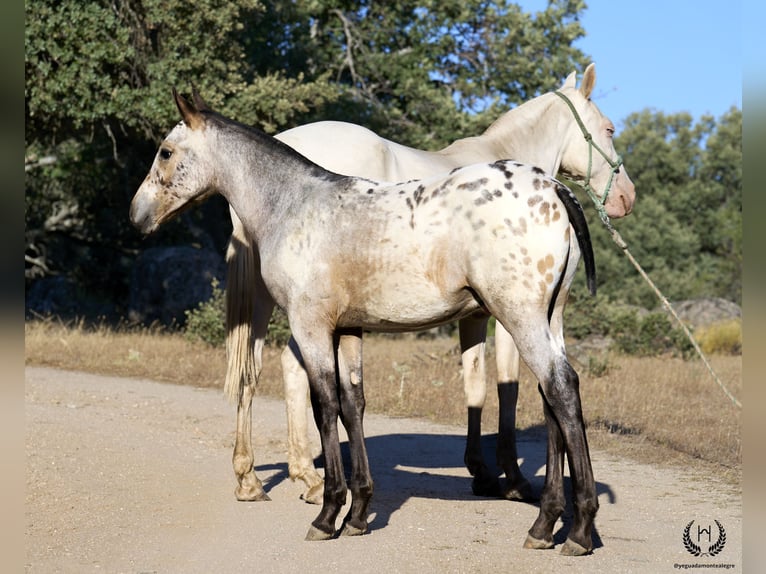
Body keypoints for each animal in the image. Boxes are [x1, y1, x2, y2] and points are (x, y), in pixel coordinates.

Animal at [225, 65, 640, 508]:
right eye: (610, 128)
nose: (626, 197)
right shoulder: (502, 316)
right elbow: (505, 387)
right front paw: (511, 479)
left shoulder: (473, 315)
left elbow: (474, 383)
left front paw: (481, 471)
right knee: (287, 367)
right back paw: (305, 478)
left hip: (274, 300)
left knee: (259, 369)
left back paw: (266, 476)